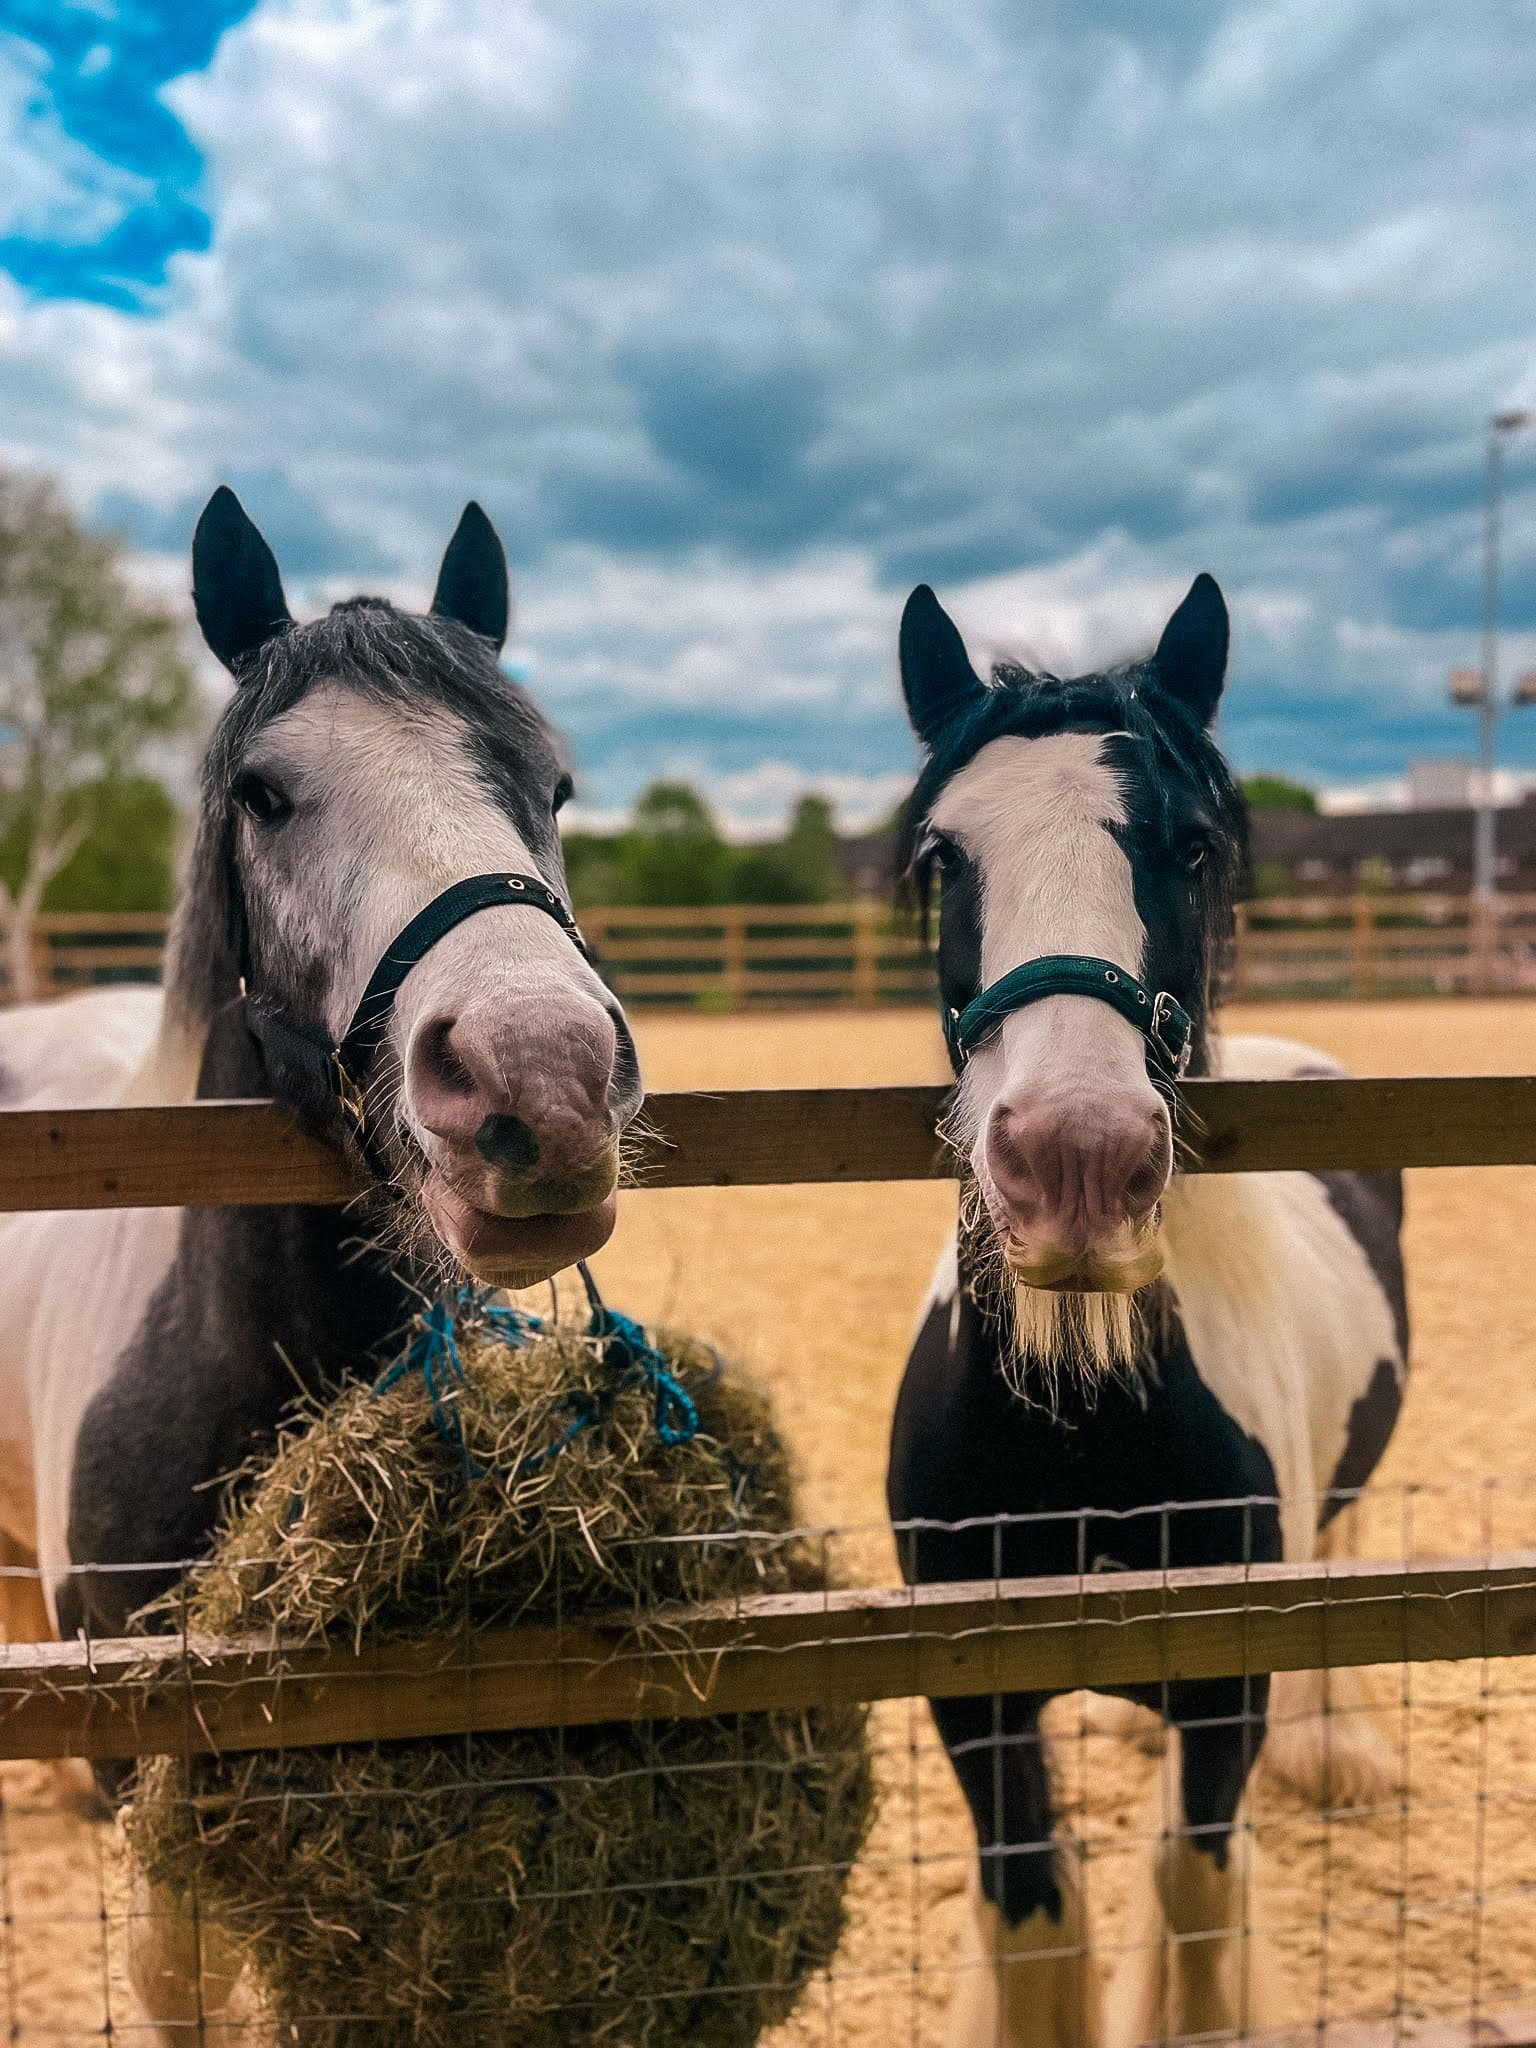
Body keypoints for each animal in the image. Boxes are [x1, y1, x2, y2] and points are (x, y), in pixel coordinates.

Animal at [885, 576, 1408, 2048]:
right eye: (943, 856)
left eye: (1189, 846)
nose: (1076, 1159)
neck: (1081, 1420)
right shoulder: (972, 1693)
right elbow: (1032, 1908)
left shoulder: (1225, 1685)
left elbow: (1189, 1881)